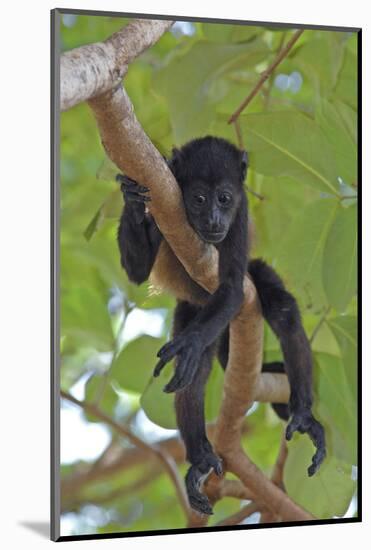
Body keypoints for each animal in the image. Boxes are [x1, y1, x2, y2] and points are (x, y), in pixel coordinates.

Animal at [117, 137, 326, 516]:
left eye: (225, 198)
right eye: (199, 198)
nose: (214, 219)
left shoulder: (240, 217)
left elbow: (230, 288)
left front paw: (189, 344)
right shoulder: (162, 201)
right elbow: (137, 272)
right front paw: (130, 197)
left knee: (284, 312)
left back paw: (303, 414)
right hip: (192, 309)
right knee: (196, 373)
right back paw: (200, 456)